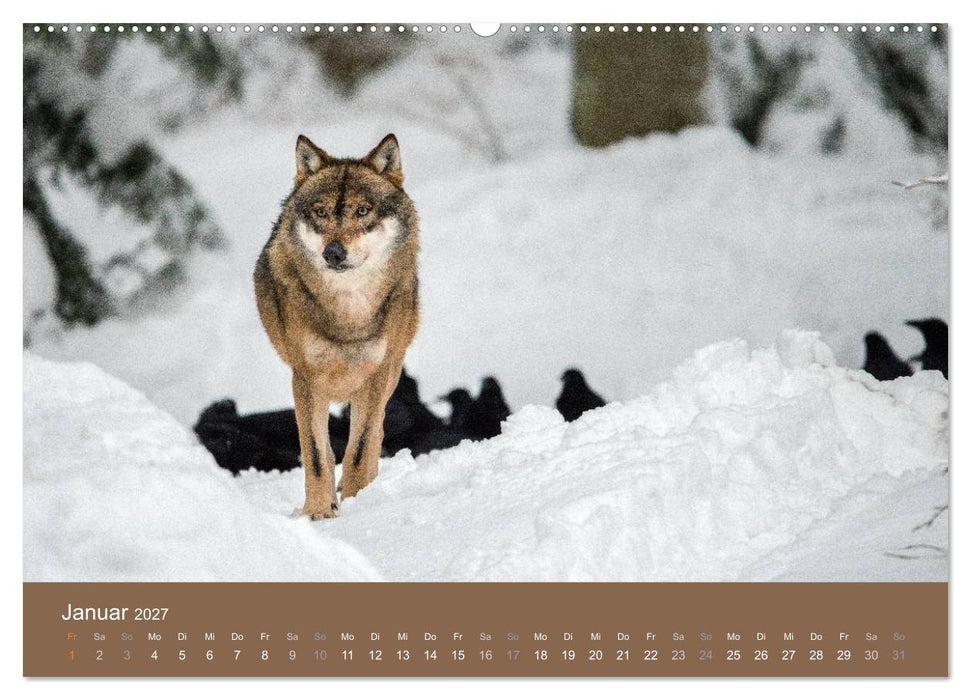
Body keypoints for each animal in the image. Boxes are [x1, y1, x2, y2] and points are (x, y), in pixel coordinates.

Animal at [253, 134, 419, 519]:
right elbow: (316, 454)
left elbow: (360, 448)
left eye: (362, 211)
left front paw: (358, 501)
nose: (333, 253)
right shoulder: (305, 378)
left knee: (375, 433)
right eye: (321, 212)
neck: (349, 312)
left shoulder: (376, 374)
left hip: (389, 374)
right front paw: (317, 512)